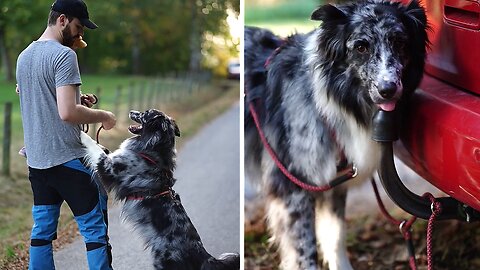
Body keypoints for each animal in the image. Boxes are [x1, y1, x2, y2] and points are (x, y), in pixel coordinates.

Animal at [81, 108, 240, 268]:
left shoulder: (109, 168)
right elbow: (101, 148)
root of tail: (204, 256)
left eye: (145, 113)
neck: (151, 151)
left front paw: (81, 132)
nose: (131, 111)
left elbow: (95, 149)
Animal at [244, 0, 428, 270]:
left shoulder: (334, 184)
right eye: (361, 47)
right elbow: (305, 250)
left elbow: (335, 235)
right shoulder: (292, 186)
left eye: (400, 42)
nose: (388, 90)